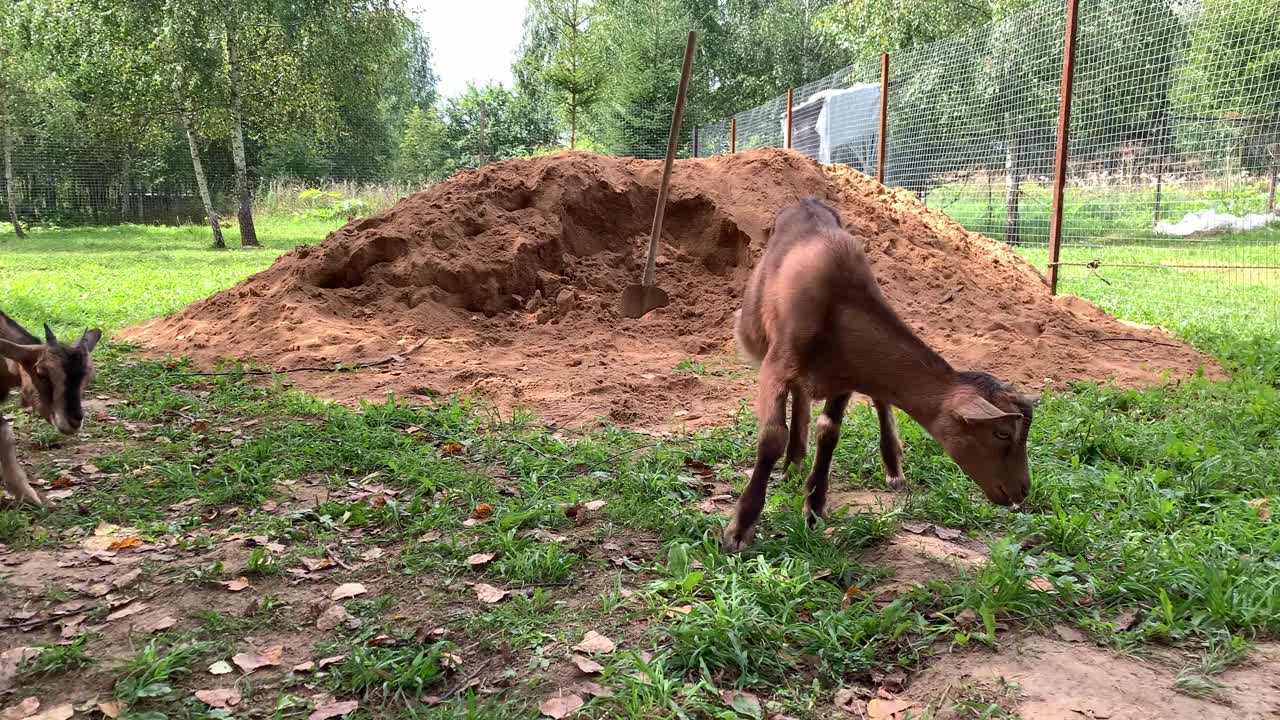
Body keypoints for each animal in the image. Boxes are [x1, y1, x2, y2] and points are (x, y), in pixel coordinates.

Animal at [727, 196, 1034, 548]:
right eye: (1002, 433)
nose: (1023, 490)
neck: (838, 305)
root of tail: (808, 200)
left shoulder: (845, 375)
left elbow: (829, 431)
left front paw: (814, 509)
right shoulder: (777, 366)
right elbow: (773, 436)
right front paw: (740, 528)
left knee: (876, 399)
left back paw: (890, 468)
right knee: (802, 398)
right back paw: (793, 462)